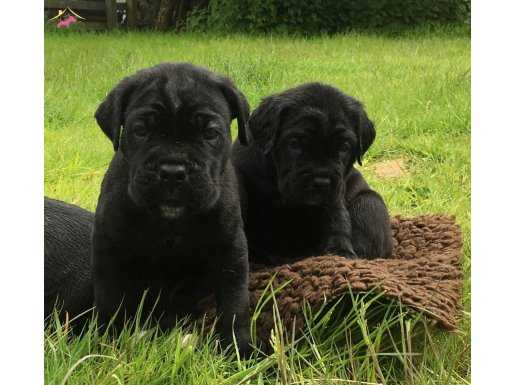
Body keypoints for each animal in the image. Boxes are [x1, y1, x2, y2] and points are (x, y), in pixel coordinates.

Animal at [95, 63, 254, 354]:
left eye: (210, 133)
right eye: (141, 130)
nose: (172, 170)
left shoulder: (230, 251)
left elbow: (234, 305)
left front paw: (238, 350)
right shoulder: (109, 247)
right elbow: (110, 302)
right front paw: (107, 346)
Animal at [232, 83, 394, 264]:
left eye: (344, 147)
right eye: (294, 143)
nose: (322, 181)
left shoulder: (335, 196)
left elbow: (336, 221)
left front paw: (340, 253)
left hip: (369, 202)